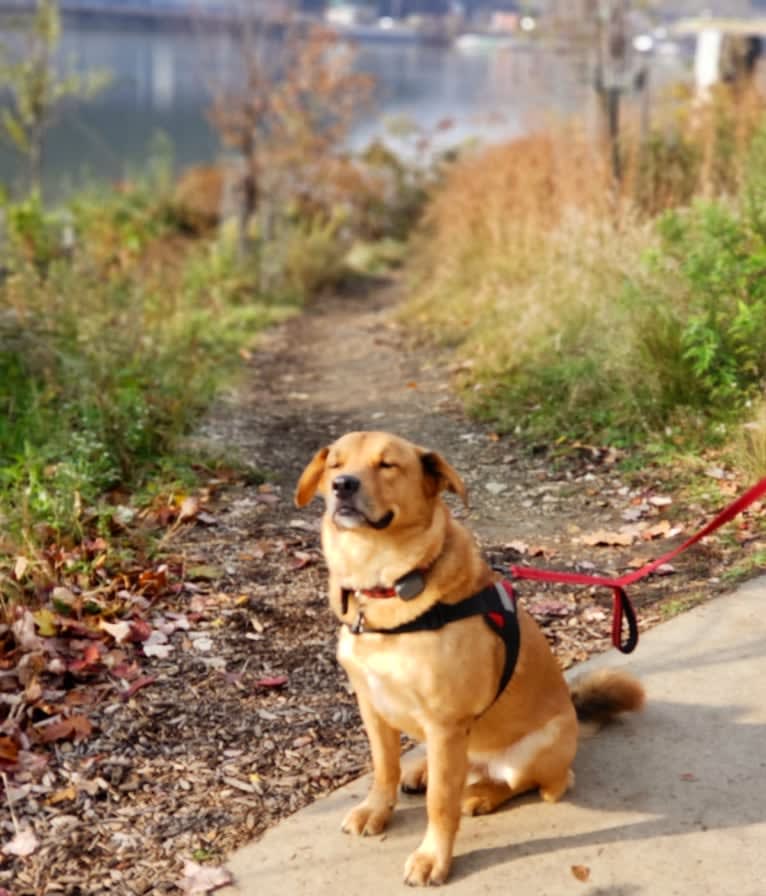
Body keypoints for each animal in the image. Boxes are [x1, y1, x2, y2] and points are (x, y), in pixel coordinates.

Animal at [296, 434, 644, 888]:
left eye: (387, 465)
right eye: (334, 464)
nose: (342, 485)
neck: (386, 587)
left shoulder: (445, 723)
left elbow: (440, 804)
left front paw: (433, 858)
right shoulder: (372, 706)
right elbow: (384, 767)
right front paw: (377, 809)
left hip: (534, 751)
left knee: (532, 783)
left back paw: (480, 794)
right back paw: (426, 771)